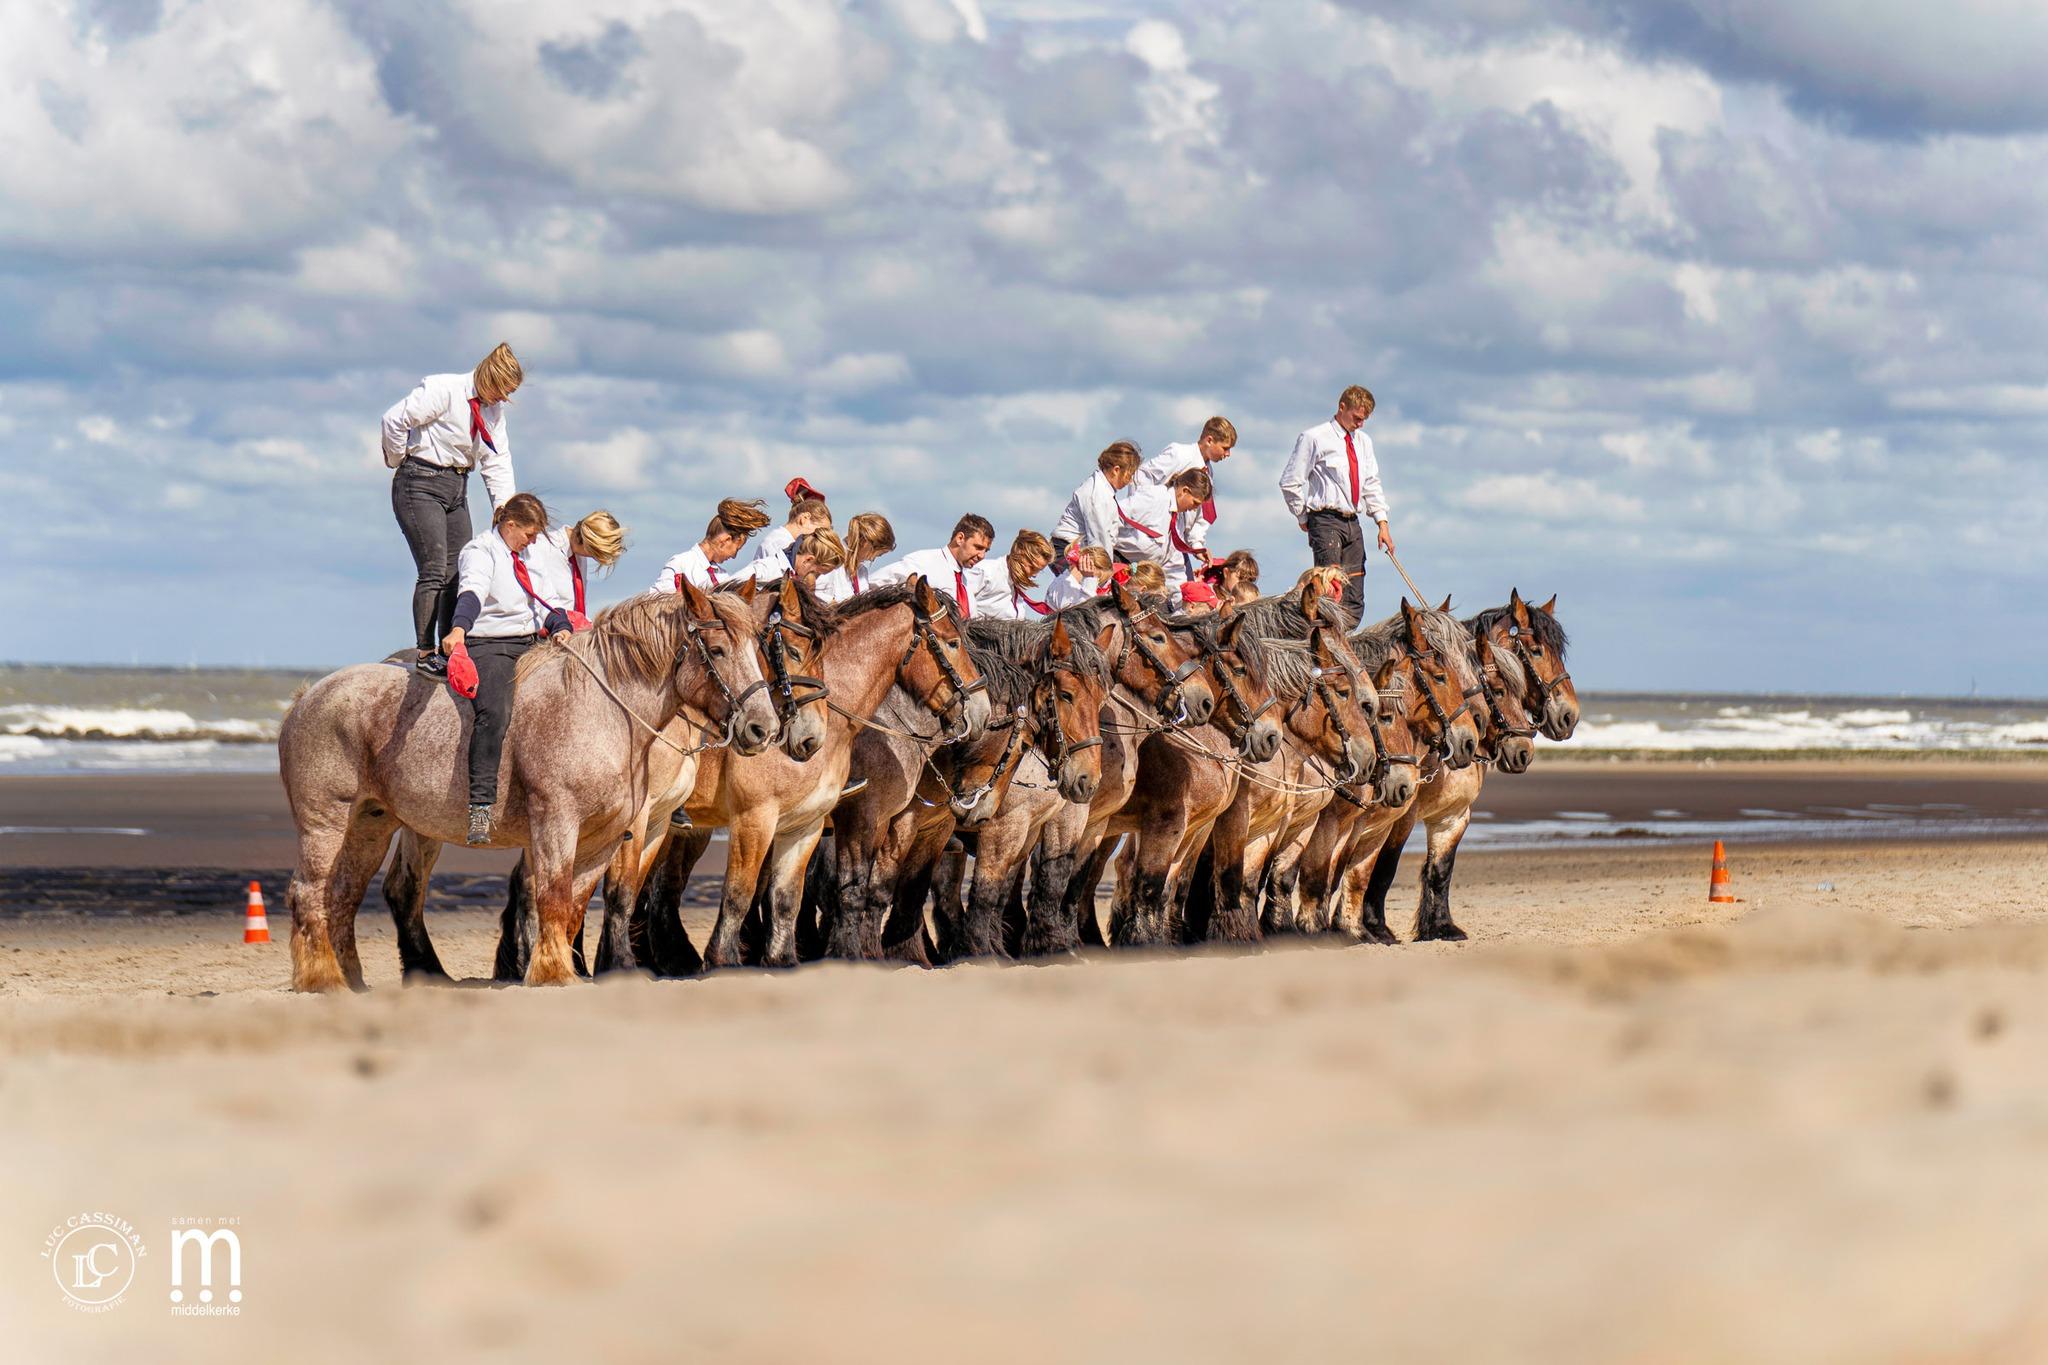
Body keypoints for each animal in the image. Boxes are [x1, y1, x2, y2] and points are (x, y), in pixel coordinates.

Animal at [277, 578, 782, 991]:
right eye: (717, 649)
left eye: (755, 647)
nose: (763, 728)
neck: (601, 710)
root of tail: (305, 699)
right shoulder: (556, 822)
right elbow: (552, 898)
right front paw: (554, 973)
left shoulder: (604, 838)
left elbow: (574, 905)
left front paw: (561, 968)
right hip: (326, 825)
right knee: (309, 894)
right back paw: (323, 980)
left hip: (370, 826)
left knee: (342, 897)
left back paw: (351, 980)